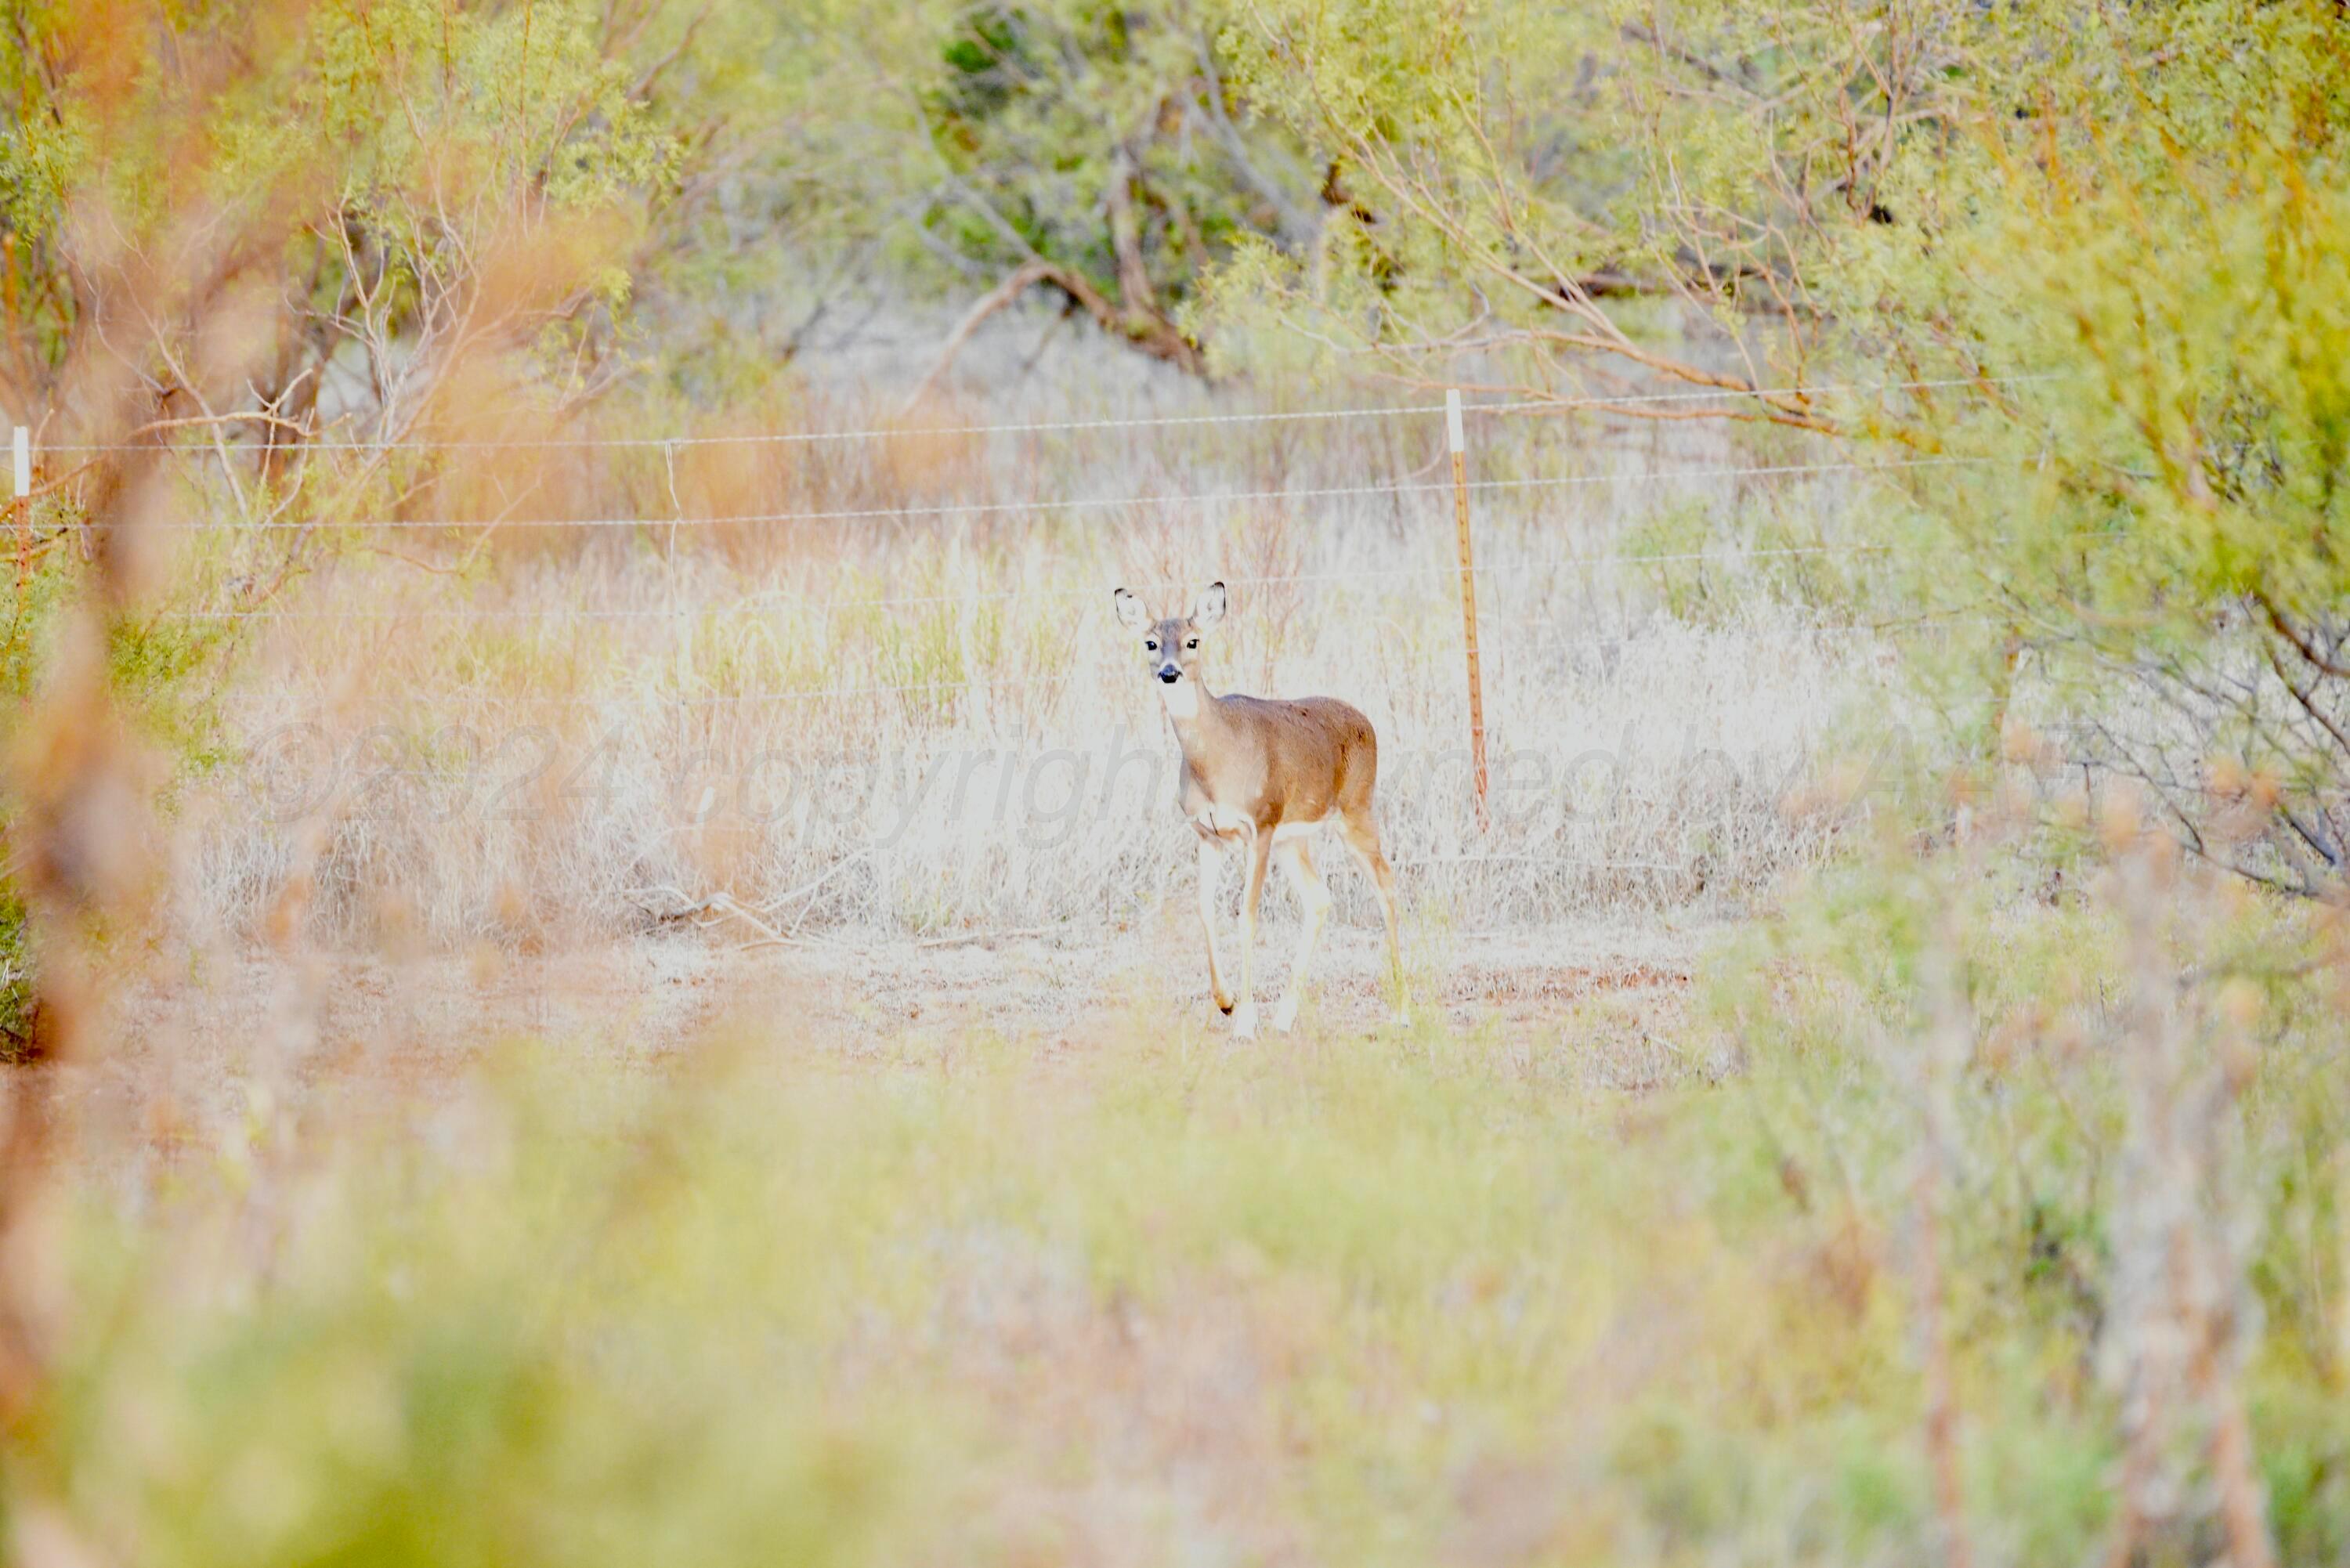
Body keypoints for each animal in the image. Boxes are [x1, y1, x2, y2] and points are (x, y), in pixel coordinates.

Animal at [1109, 583, 1401, 1034]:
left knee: (1386, 885)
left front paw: (1245, 1019)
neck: (1217, 763)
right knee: (1319, 898)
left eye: (1193, 641)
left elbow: (1247, 916)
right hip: (1294, 837)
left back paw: (1403, 1009)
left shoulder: (1259, 825)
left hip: (1356, 810)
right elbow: (1205, 910)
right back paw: (1284, 1016)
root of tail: (1367, 722)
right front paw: (1226, 1002)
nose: (1169, 673)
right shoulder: (1207, 834)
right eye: (1151, 643)